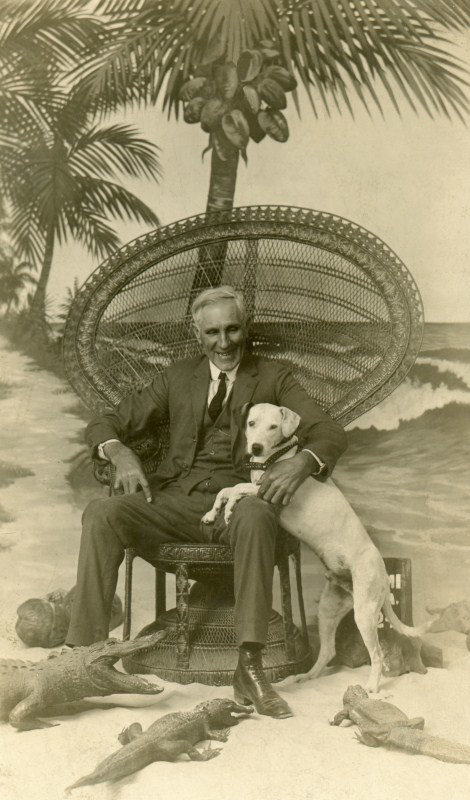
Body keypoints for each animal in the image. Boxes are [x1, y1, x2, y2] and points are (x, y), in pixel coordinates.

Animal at [202, 404, 430, 692]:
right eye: (251, 423)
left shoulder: (266, 491)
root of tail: (382, 572)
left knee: (377, 654)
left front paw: (229, 510)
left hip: (365, 614)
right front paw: (211, 514)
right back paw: (308, 676)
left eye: (273, 427)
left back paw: (371, 686)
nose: (255, 447)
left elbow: (235, 489)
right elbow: (227, 488)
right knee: (328, 650)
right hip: (329, 610)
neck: (276, 457)